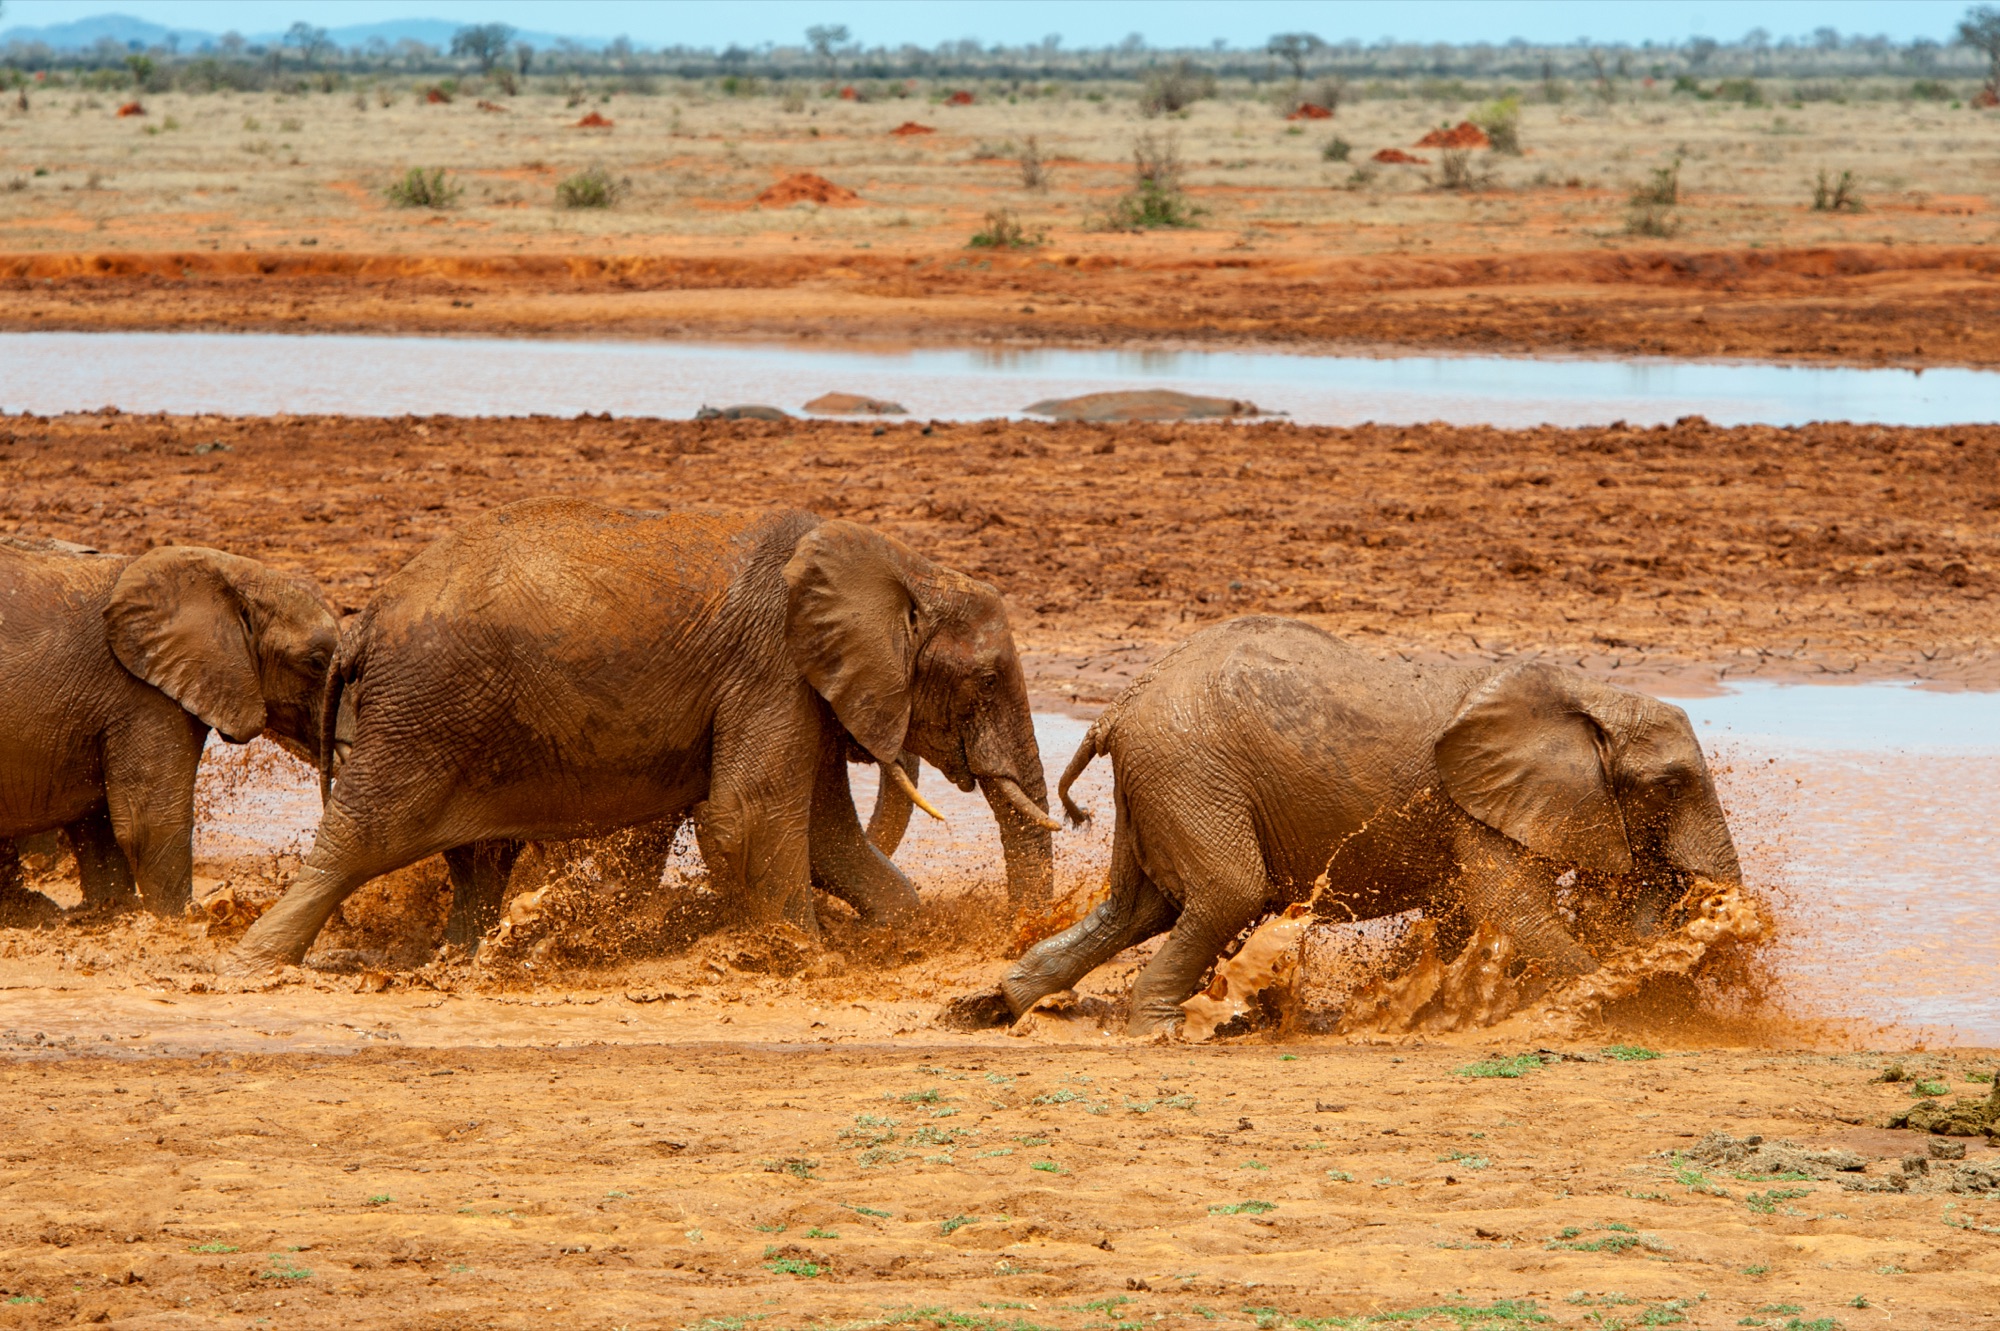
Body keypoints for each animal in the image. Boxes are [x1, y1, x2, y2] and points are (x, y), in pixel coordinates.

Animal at [0, 537, 339, 918]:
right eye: (316, 662)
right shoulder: (141, 697)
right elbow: (149, 826)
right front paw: (181, 918)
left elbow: (99, 831)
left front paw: (114, 912)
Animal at [228, 498, 1057, 970]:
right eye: (986, 679)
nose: (1017, 939)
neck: (904, 565)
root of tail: (364, 619)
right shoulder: (773, 664)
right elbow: (752, 817)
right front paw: (811, 959)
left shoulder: (797, 686)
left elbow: (822, 835)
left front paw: (896, 940)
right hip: (424, 710)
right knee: (363, 835)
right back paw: (254, 963)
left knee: (477, 860)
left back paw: (458, 959)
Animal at [1000, 616, 1743, 1036]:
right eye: (1670, 785)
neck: (1587, 693)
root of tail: (1115, 708)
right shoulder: (1474, 804)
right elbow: (1515, 910)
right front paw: (1623, 1008)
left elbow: (1468, 916)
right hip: (1190, 772)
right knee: (1227, 894)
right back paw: (1162, 1030)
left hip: (1162, 783)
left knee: (1137, 907)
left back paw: (1010, 1004)